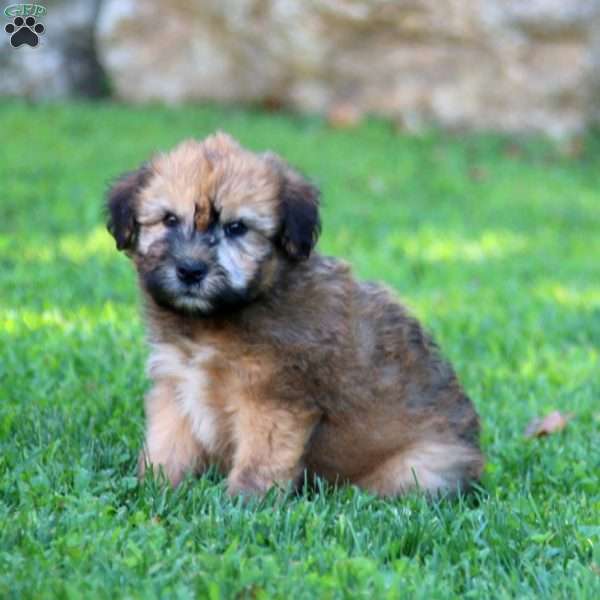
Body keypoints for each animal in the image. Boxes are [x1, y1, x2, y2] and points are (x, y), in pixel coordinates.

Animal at [106, 132, 482, 496]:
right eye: (169, 219)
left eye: (236, 227)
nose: (190, 270)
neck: (215, 322)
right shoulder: (176, 384)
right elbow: (166, 446)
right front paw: (154, 487)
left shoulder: (274, 399)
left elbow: (260, 460)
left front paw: (243, 502)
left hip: (420, 468)